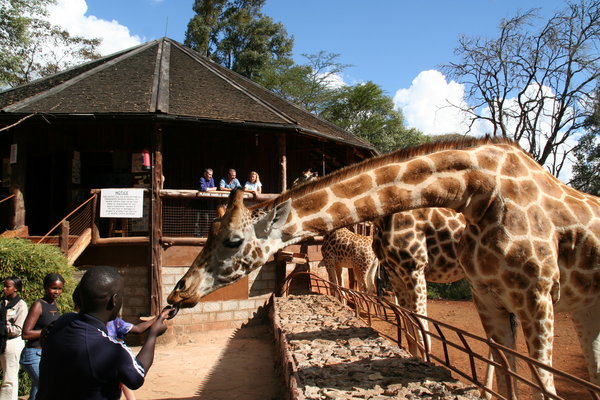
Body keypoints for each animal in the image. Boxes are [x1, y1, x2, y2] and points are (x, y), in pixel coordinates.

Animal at [168, 138, 600, 396]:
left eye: (232, 240)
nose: (179, 291)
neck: (478, 191)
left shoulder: (427, 273)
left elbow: (426, 333)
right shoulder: (407, 277)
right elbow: (410, 330)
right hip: (569, 307)